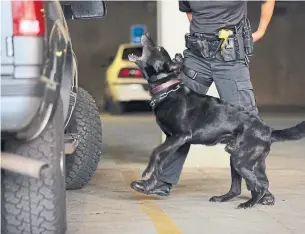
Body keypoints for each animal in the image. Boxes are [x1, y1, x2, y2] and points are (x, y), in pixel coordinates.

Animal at [127, 33, 304, 208]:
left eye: (157, 48)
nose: (146, 34)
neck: (167, 89)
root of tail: (268, 130)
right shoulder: (172, 139)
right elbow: (161, 163)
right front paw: (149, 186)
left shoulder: (180, 136)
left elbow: (156, 152)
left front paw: (146, 173)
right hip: (234, 157)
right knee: (236, 189)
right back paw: (222, 198)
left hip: (241, 160)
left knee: (259, 187)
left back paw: (248, 204)